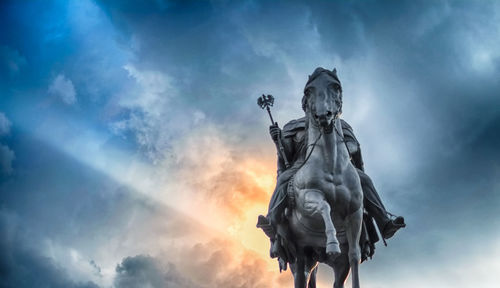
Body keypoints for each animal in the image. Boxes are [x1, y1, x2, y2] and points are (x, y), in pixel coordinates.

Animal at [286, 68, 364, 288]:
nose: (323, 116)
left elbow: (355, 255)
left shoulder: (355, 212)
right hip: (300, 256)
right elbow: (325, 206)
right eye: (309, 90)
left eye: (336, 86)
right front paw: (332, 243)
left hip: (332, 264)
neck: (332, 164)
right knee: (301, 276)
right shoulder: (307, 197)